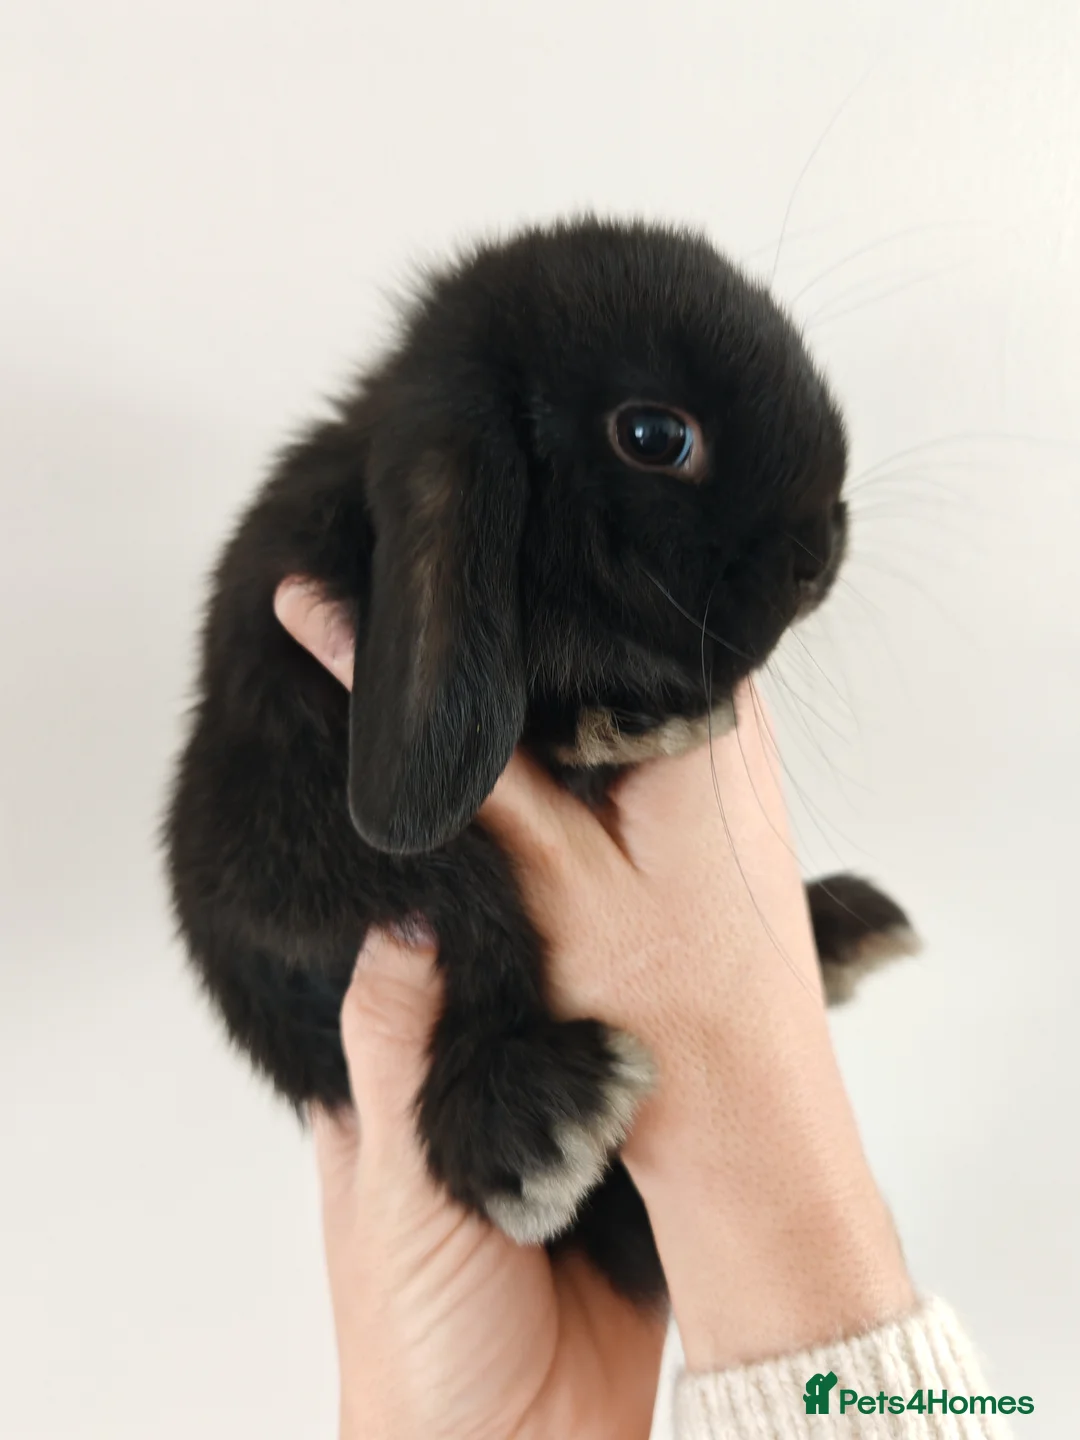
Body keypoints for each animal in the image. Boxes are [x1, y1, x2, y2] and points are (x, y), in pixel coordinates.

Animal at [163, 216, 919, 1306]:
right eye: (654, 437)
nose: (821, 550)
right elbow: (469, 904)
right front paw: (624, 721)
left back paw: (846, 929)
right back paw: (541, 1132)